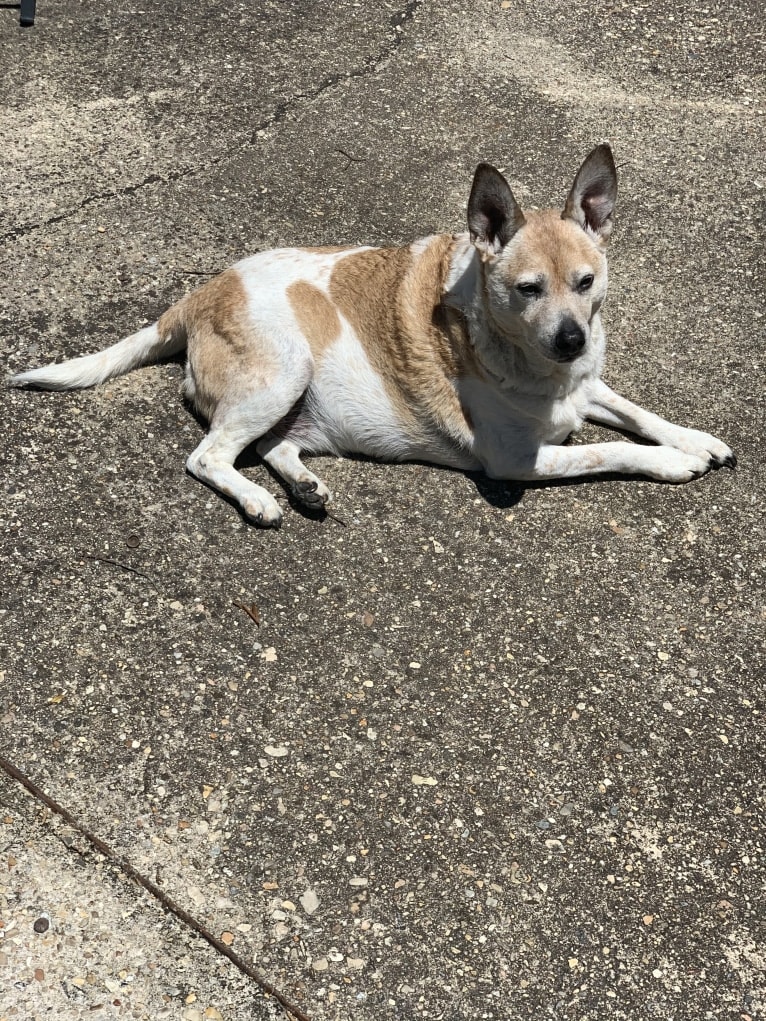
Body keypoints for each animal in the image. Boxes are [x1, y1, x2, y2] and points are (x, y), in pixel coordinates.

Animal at [7, 146, 739, 526]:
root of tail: (197, 296)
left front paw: (695, 439)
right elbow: (610, 449)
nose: (571, 340)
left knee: (267, 446)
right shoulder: (515, 461)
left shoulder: (587, 385)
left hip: (293, 404)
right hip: (285, 372)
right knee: (208, 455)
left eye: (586, 282)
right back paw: (259, 501)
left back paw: (302, 486)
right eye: (528, 288)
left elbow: (637, 412)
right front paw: (672, 464)